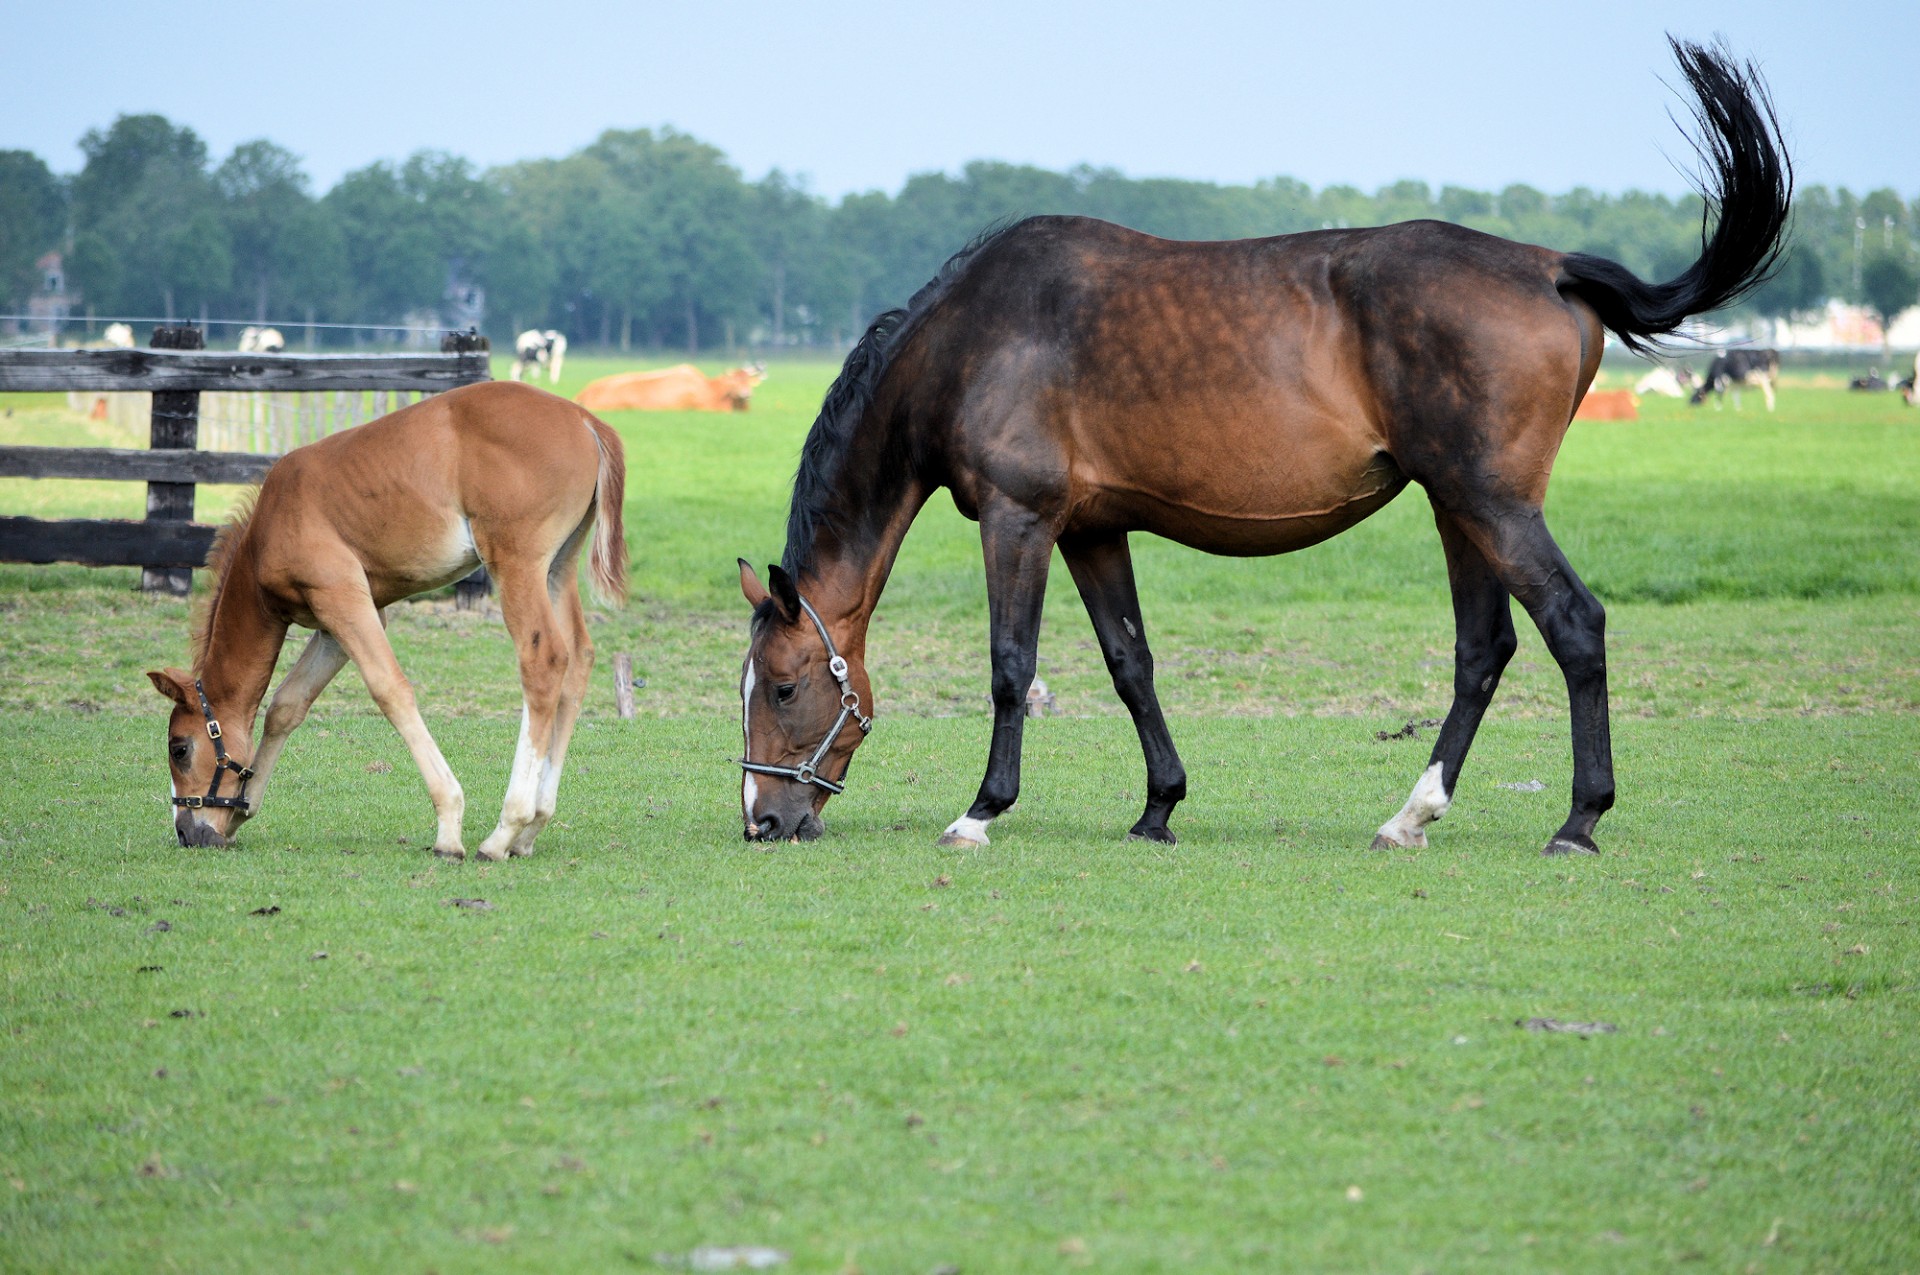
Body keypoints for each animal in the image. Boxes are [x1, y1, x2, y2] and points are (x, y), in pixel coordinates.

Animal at [153, 378, 629, 856]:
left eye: (179, 749)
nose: (185, 832)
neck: (267, 531)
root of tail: (586, 420)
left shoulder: (342, 598)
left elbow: (390, 690)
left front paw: (449, 827)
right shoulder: (334, 624)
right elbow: (287, 705)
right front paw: (241, 810)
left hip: (515, 562)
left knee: (544, 661)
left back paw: (506, 829)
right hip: (558, 567)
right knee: (579, 659)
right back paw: (533, 826)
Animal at [737, 39, 1797, 856]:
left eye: (785, 685)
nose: (762, 818)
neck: (974, 338)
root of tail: (1549, 266)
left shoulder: (1019, 518)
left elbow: (1011, 663)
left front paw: (981, 812)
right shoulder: (1092, 529)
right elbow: (1130, 662)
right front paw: (1159, 807)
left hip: (1492, 504)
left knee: (1575, 625)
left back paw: (1578, 820)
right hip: (1459, 508)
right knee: (1483, 649)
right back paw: (1410, 815)